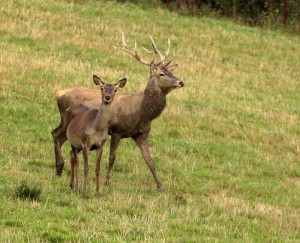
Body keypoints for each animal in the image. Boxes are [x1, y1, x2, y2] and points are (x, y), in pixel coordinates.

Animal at [51, 33, 184, 193]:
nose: (181, 82)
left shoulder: (141, 135)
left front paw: (160, 187)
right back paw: (59, 167)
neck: (141, 112)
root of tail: (58, 93)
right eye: (162, 73)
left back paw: (60, 170)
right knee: (55, 134)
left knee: (62, 141)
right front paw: (106, 182)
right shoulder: (116, 130)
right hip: (64, 119)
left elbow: (150, 160)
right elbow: (112, 157)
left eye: (172, 72)